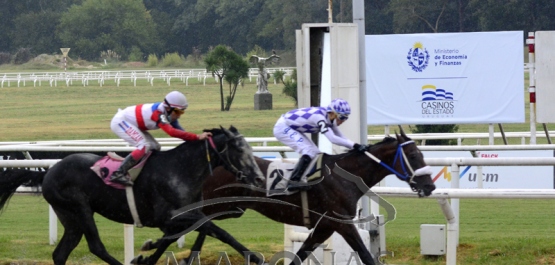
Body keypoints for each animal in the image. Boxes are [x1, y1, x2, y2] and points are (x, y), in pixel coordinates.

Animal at [142, 127, 434, 262]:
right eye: (413, 155)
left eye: (421, 154)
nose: (430, 186)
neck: (344, 175)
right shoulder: (341, 222)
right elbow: (364, 254)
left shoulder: (324, 226)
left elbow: (302, 254)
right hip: (219, 207)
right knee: (182, 228)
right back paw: (149, 251)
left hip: (228, 209)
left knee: (191, 229)